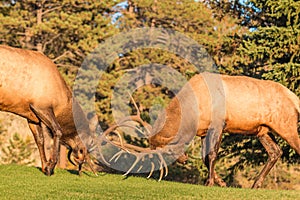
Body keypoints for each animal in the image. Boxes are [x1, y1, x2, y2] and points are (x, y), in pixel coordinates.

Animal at [0, 45, 96, 175]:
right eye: (89, 143)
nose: (81, 158)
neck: (61, 103)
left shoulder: (32, 116)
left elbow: (40, 139)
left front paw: (45, 166)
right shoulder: (41, 106)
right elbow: (57, 130)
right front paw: (51, 166)